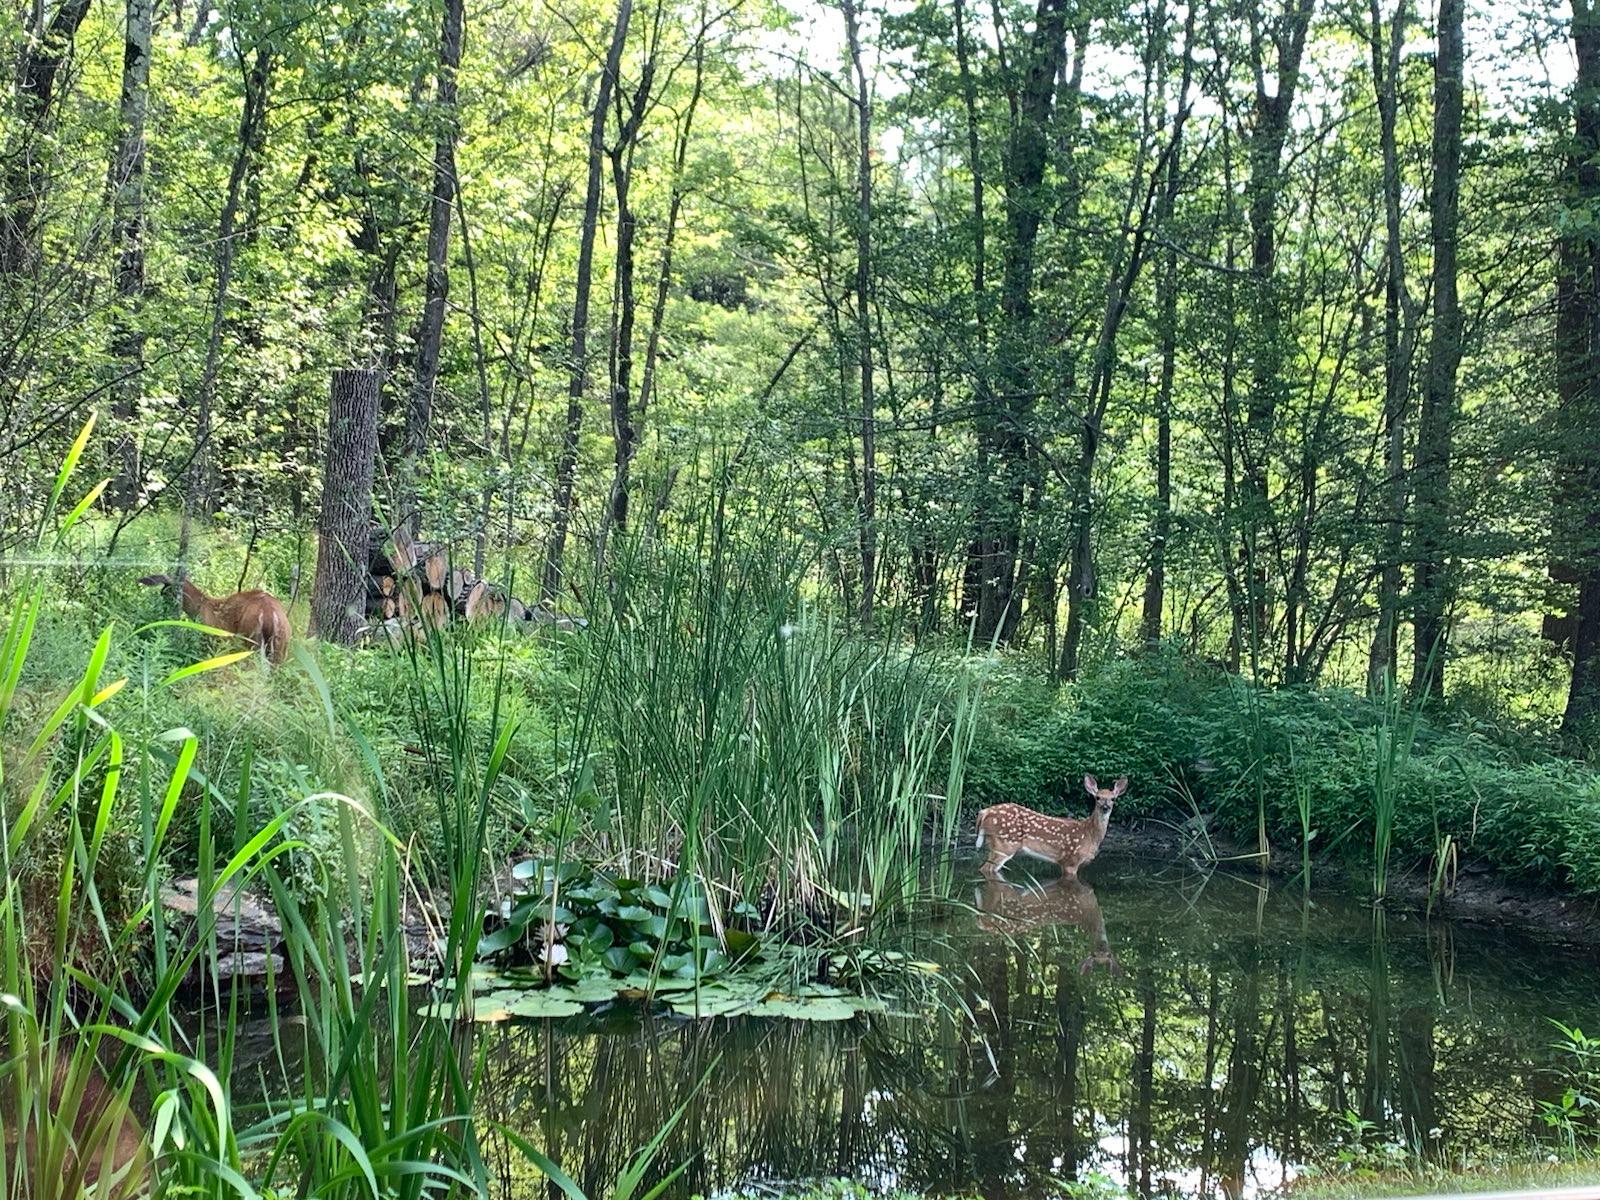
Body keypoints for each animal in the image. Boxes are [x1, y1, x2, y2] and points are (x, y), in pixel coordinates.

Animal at [139, 576, 292, 668]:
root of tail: (269, 614)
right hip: (281, 646)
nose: (161, 596)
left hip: (251, 640)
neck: (204, 608)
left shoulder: (214, 639)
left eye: (166, 589)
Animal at [972, 774, 1126, 876]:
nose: (1105, 807)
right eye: (1097, 797)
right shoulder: (1070, 860)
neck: (1090, 834)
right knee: (986, 868)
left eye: (1113, 799)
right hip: (1004, 844)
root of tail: (985, 812)